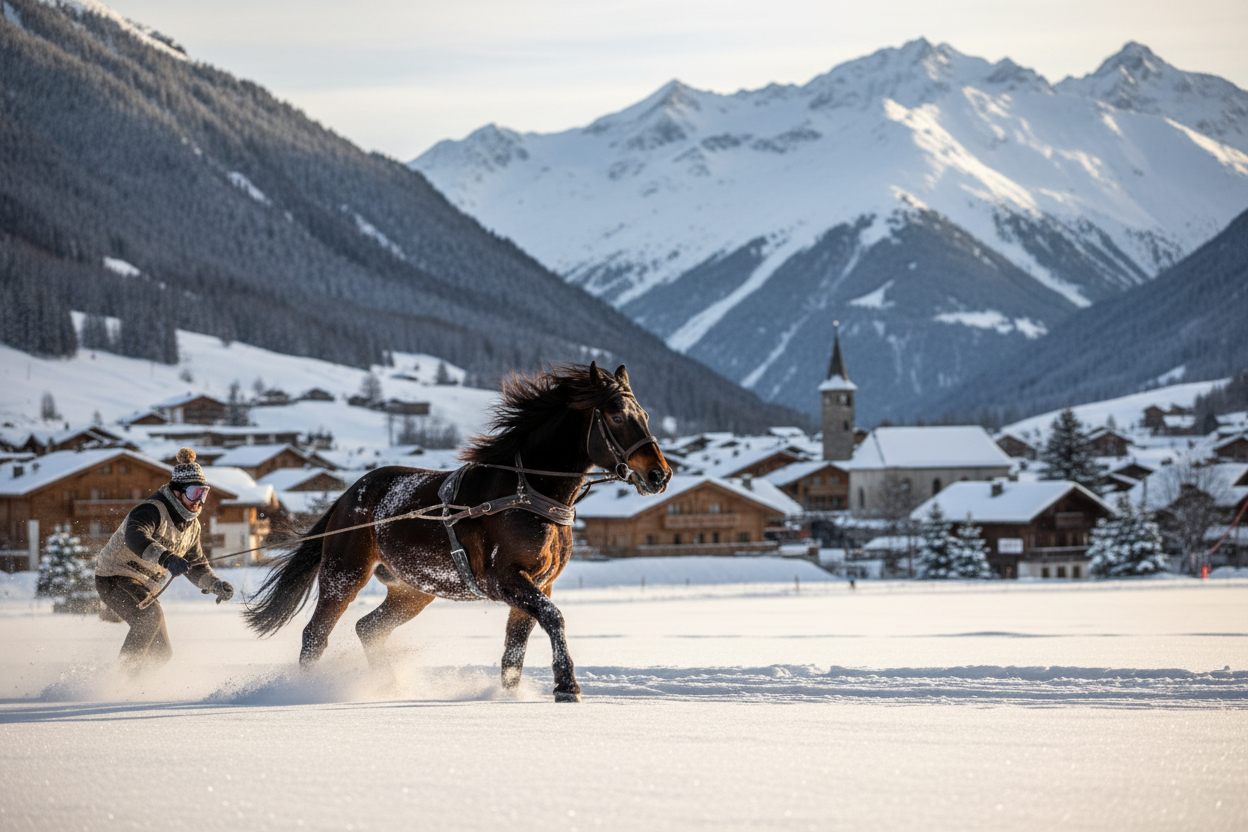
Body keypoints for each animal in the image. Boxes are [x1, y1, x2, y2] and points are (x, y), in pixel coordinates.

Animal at [242, 362, 672, 702]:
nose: (659, 475)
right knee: (315, 635)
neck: (525, 493)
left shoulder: (539, 584)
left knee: (368, 629)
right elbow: (554, 619)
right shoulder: (505, 580)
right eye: (616, 416)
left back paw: (388, 687)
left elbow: (515, 649)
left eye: (645, 414)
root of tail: (349, 495)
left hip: (413, 591)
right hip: (343, 575)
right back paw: (303, 692)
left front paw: (509, 696)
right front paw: (567, 686)